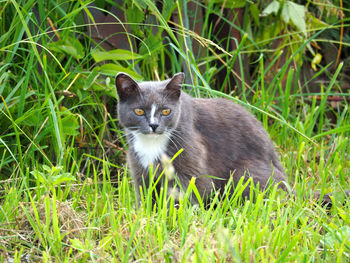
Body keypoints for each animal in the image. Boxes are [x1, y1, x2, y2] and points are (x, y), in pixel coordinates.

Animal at [115, 71, 344, 206]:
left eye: (165, 111)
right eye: (138, 111)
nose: (154, 125)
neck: (151, 144)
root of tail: (289, 186)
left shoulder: (191, 162)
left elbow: (191, 194)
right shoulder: (140, 168)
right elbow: (146, 197)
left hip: (244, 174)